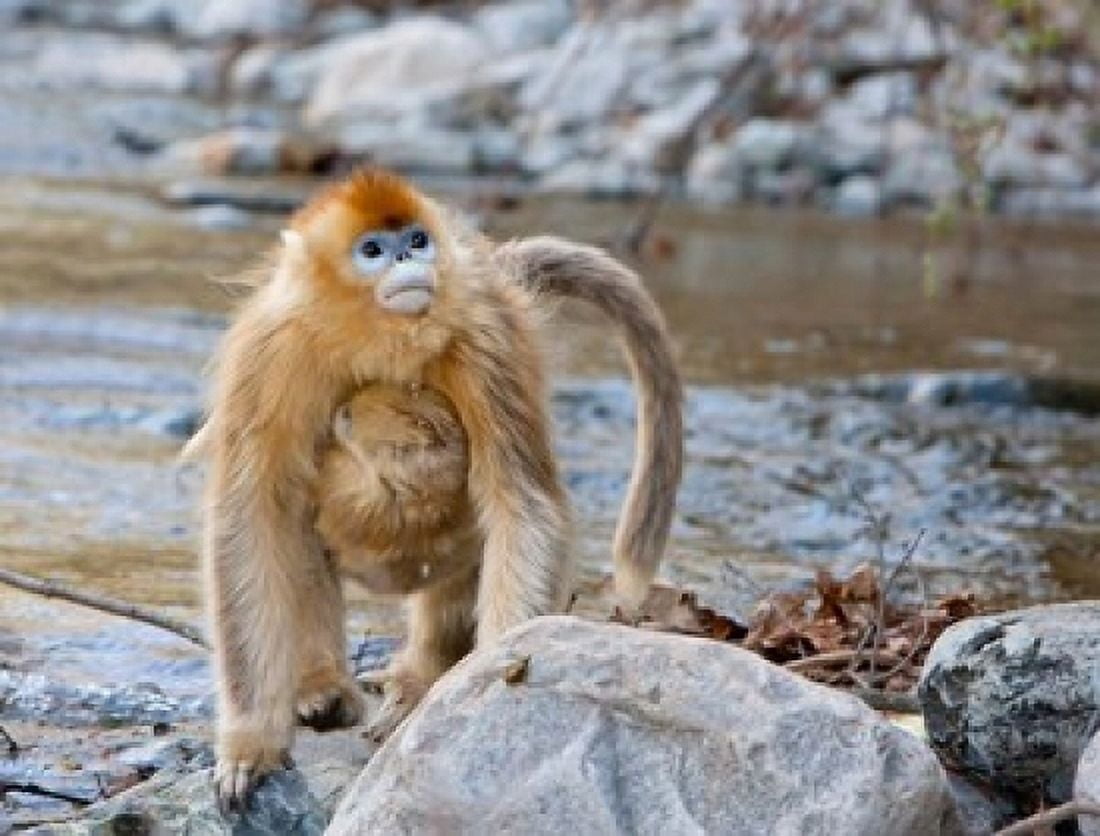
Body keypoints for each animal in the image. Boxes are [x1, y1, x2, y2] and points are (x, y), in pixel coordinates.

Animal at [197, 168, 682, 808]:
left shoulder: (484, 338)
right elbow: (250, 515)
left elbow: (521, 503)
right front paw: (251, 742)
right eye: (373, 250)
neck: (376, 338)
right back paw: (322, 686)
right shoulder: (273, 351)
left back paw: (421, 678)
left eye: (416, 239)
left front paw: (489, 687)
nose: (408, 258)